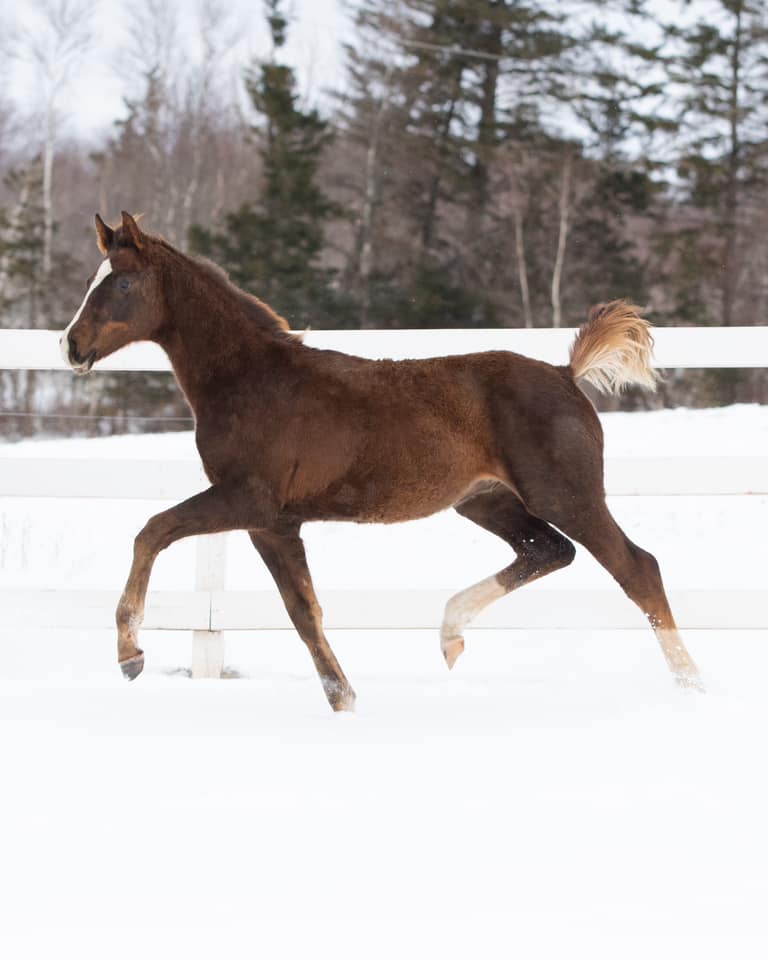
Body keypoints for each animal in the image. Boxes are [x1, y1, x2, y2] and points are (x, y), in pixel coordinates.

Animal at [59, 211, 703, 710]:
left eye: (121, 284)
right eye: (93, 279)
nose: (71, 345)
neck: (252, 380)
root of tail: (567, 374)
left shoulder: (248, 500)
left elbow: (152, 530)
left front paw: (131, 654)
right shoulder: (274, 522)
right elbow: (303, 609)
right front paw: (342, 698)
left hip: (565, 494)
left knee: (637, 568)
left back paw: (692, 685)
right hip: (485, 501)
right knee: (548, 550)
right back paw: (449, 634)